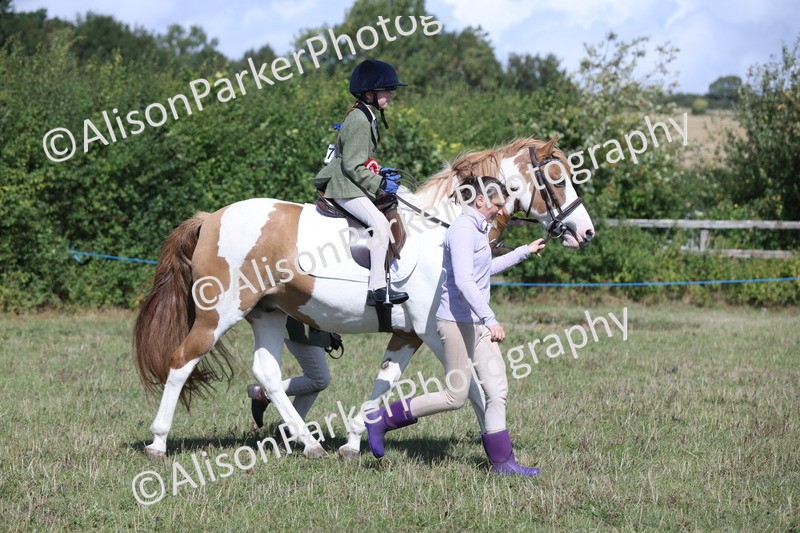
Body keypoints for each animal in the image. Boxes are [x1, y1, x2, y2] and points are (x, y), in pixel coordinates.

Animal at [133, 136, 595, 460]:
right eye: (557, 178)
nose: (585, 232)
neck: (446, 225)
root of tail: (211, 217)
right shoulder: (433, 330)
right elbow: (471, 391)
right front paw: (496, 446)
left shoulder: (410, 333)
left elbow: (386, 380)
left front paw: (355, 441)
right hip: (220, 312)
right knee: (181, 362)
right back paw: (158, 442)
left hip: (268, 313)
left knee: (266, 373)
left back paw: (308, 442)